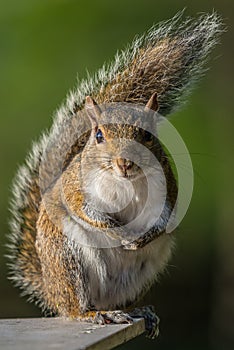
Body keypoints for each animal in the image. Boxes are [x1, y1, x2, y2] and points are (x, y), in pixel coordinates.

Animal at [7, 11, 223, 340]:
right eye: (98, 135)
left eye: (148, 135)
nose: (124, 163)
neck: (125, 183)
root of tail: (51, 290)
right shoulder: (76, 189)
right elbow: (87, 211)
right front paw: (119, 233)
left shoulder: (168, 190)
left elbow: (164, 217)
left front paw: (142, 236)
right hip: (67, 258)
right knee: (75, 307)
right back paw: (93, 313)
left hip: (146, 269)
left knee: (122, 300)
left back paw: (139, 311)